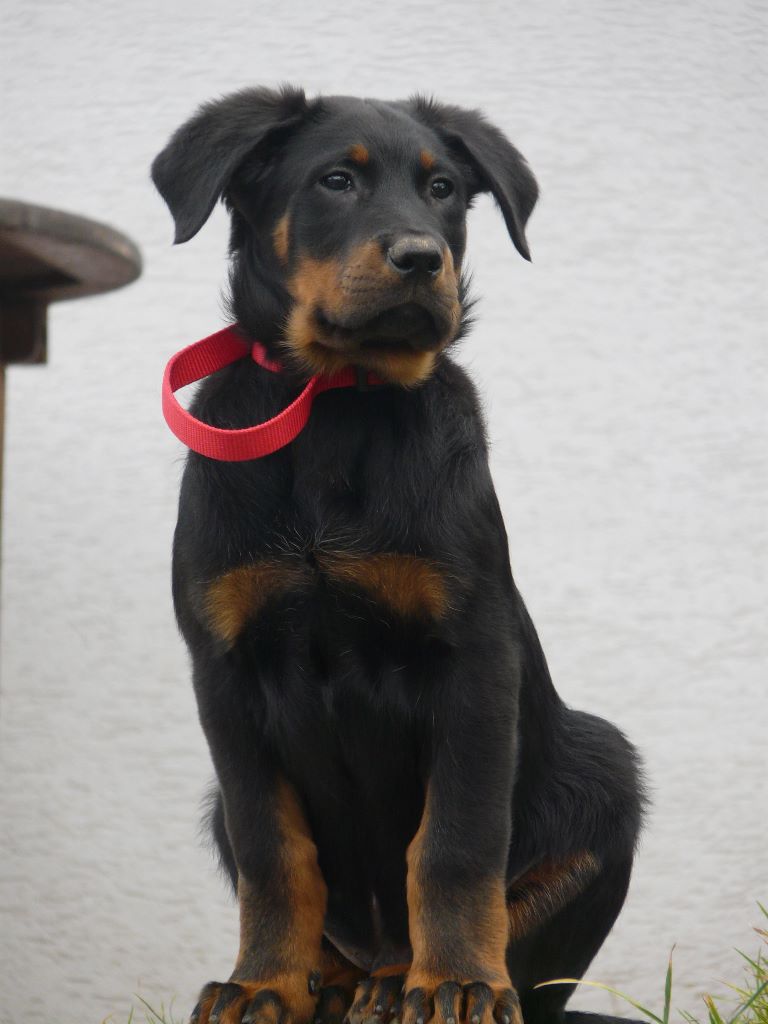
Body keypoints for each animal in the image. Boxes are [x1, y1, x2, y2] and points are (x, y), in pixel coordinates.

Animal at [152, 86, 644, 1024]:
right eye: (335, 181)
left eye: (443, 188)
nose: (422, 259)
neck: (338, 401)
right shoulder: (222, 673)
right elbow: (274, 854)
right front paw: (261, 983)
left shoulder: (474, 658)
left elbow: (456, 843)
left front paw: (457, 980)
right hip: (213, 804)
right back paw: (343, 983)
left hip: (605, 768)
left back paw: (403, 981)